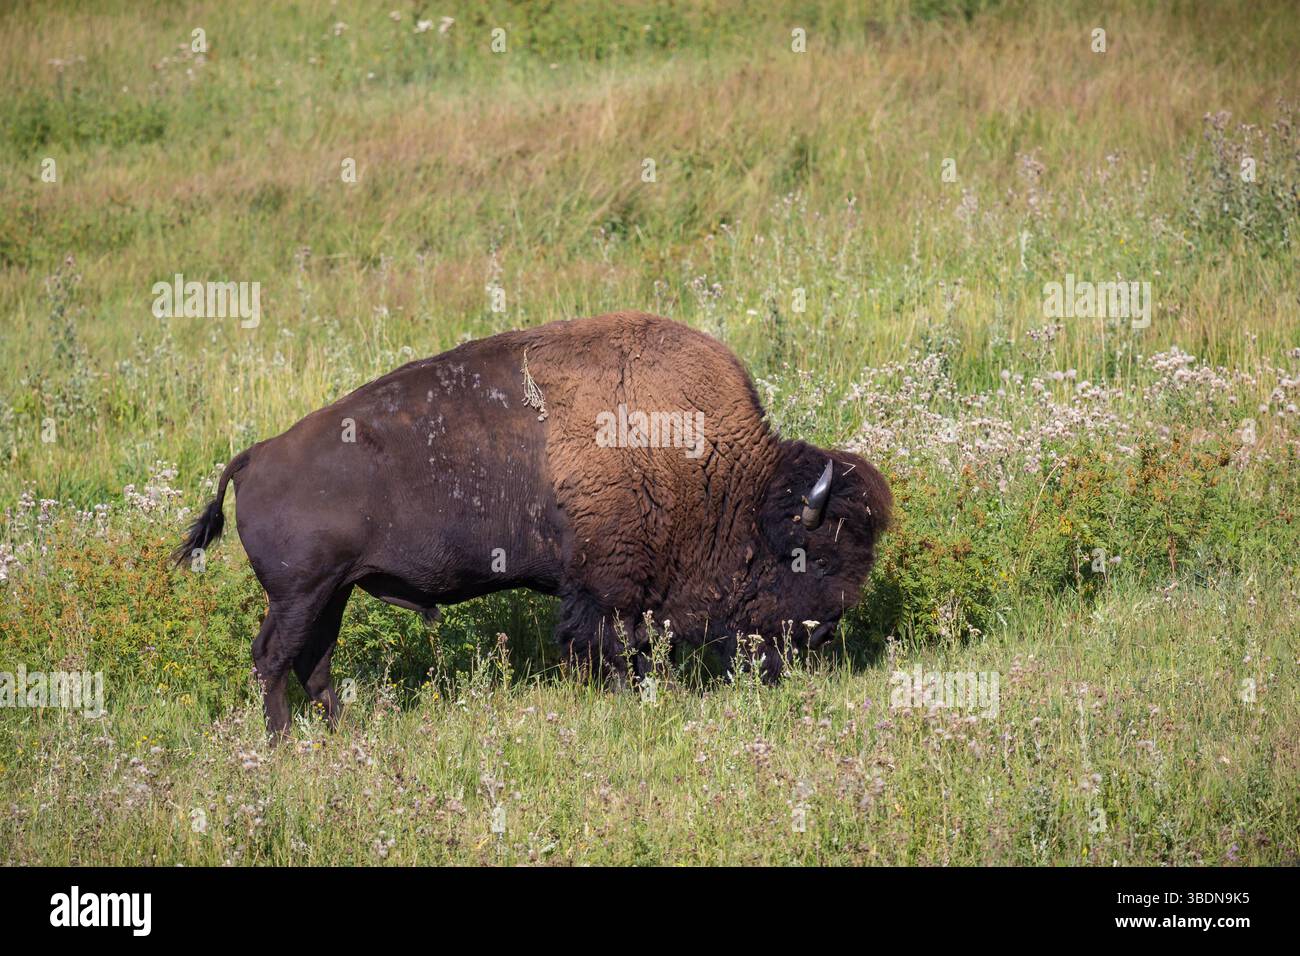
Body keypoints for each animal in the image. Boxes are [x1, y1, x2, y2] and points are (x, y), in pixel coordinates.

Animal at [175, 311, 891, 736]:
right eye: (813, 555)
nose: (827, 632)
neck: (716, 470)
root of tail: (255, 456)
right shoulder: (604, 590)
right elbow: (610, 647)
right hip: (300, 593)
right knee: (274, 658)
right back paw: (283, 742)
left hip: (333, 592)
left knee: (313, 661)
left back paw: (340, 732)